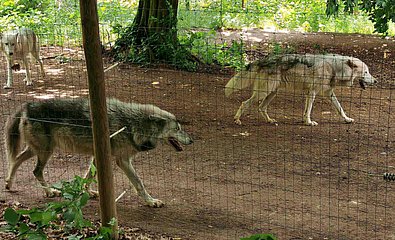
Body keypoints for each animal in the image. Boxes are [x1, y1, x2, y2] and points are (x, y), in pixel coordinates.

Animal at [4, 98, 193, 207]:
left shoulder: (100, 156)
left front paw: (87, 192)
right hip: (46, 152)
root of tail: (26, 105)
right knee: (35, 170)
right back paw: (49, 192)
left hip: (38, 150)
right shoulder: (121, 160)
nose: (192, 141)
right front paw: (151, 202)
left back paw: (8, 184)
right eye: (178, 128)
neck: (132, 125)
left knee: (15, 160)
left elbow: (88, 177)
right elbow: (139, 183)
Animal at [226, 54, 378, 125]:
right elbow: (308, 110)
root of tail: (264, 59)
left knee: (261, 107)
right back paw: (237, 120)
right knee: (244, 103)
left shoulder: (328, 94)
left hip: (272, 93)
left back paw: (270, 121)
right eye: (366, 72)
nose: (376, 81)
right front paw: (309, 122)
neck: (335, 69)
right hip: (263, 93)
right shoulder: (312, 93)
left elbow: (340, 108)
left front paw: (347, 119)